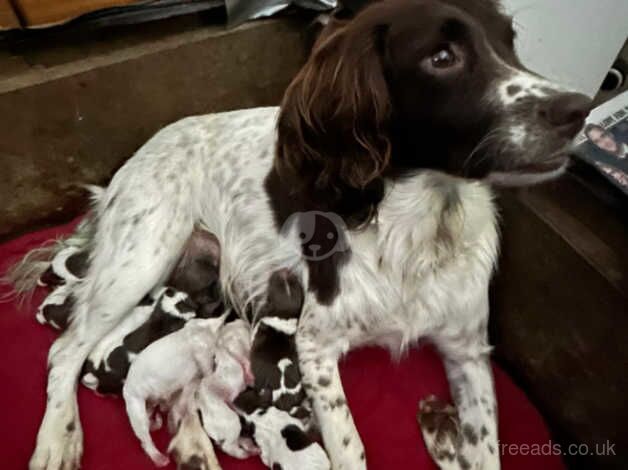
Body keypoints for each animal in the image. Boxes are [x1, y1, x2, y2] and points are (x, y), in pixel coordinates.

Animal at [23, 0, 588, 470]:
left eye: (510, 41)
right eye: (442, 57)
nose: (577, 108)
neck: (423, 222)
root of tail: (129, 165)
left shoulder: (468, 350)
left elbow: (486, 451)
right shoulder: (315, 346)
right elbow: (352, 448)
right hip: (143, 255)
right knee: (64, 352)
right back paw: (58, 438)